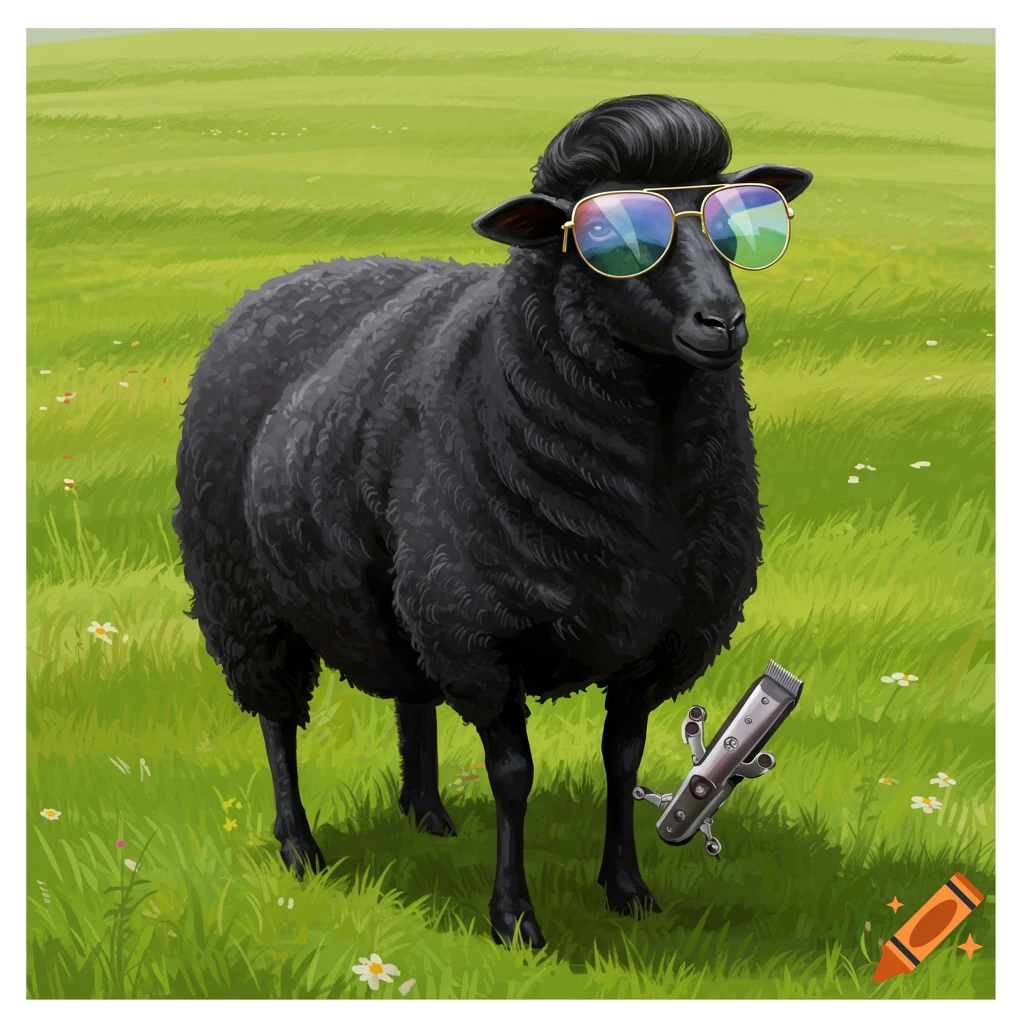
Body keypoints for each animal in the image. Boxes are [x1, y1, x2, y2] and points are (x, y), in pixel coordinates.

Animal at [173, 93, 812, 950]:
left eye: (736, 221)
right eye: (610, 240)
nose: (724, 320)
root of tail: (287, 280)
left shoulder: (653, 643)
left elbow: (622, 760)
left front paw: (628, 889)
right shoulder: (480, 635)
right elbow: (515, 776)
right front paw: (515, 917)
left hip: (403, 593)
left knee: (410, 696)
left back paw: (429, 817)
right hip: (246, 599)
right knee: (277, 720)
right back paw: (300, 846)